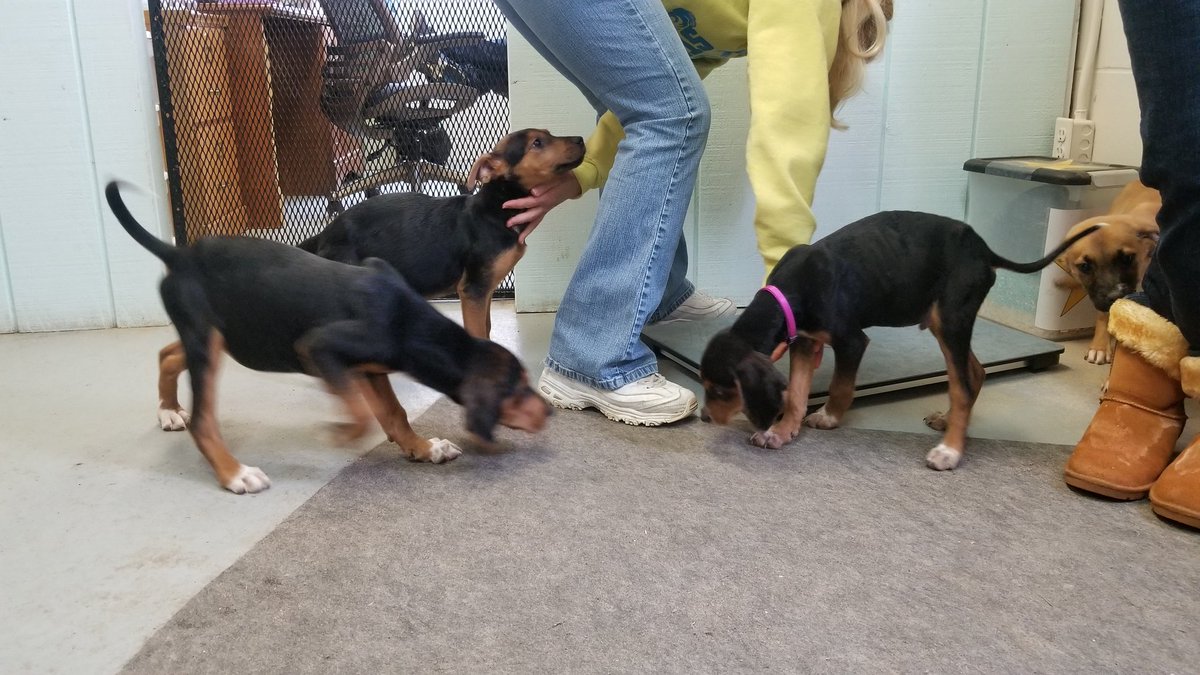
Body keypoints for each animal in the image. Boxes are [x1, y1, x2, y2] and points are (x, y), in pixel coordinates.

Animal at [108, 181, 549, 492]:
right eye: (517, 388)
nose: (549, 412)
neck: (406, 318)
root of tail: (179, 254)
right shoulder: (319, 349)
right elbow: (361, 414)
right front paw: (339, 433)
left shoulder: (372, 367)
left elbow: (393, 413)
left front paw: (424, 448)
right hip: (211, 343)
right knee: (203, 419)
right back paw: (234, 473)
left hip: (226, 336)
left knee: (168, 354)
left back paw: (169, 411)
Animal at [297, 127, 583, 336]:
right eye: (537, 143)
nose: (581, 139)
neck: (496, 208)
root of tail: (325, 233)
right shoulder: (473, 290)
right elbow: (479, 335)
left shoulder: (484, 289)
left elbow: (487, 328)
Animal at [700, 210, 1099, 468]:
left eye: (720, 389)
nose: (703, 417)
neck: (792, 291)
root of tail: (982, 248)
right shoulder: (805, 341)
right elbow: (796, 394)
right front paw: (781, 432)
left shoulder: (850, 341)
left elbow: (840, 386)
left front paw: (828, 417)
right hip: (944, 321)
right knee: (976, 372)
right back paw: (949, 421)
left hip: (951, 319)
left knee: (961, 385)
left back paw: (950, 450)